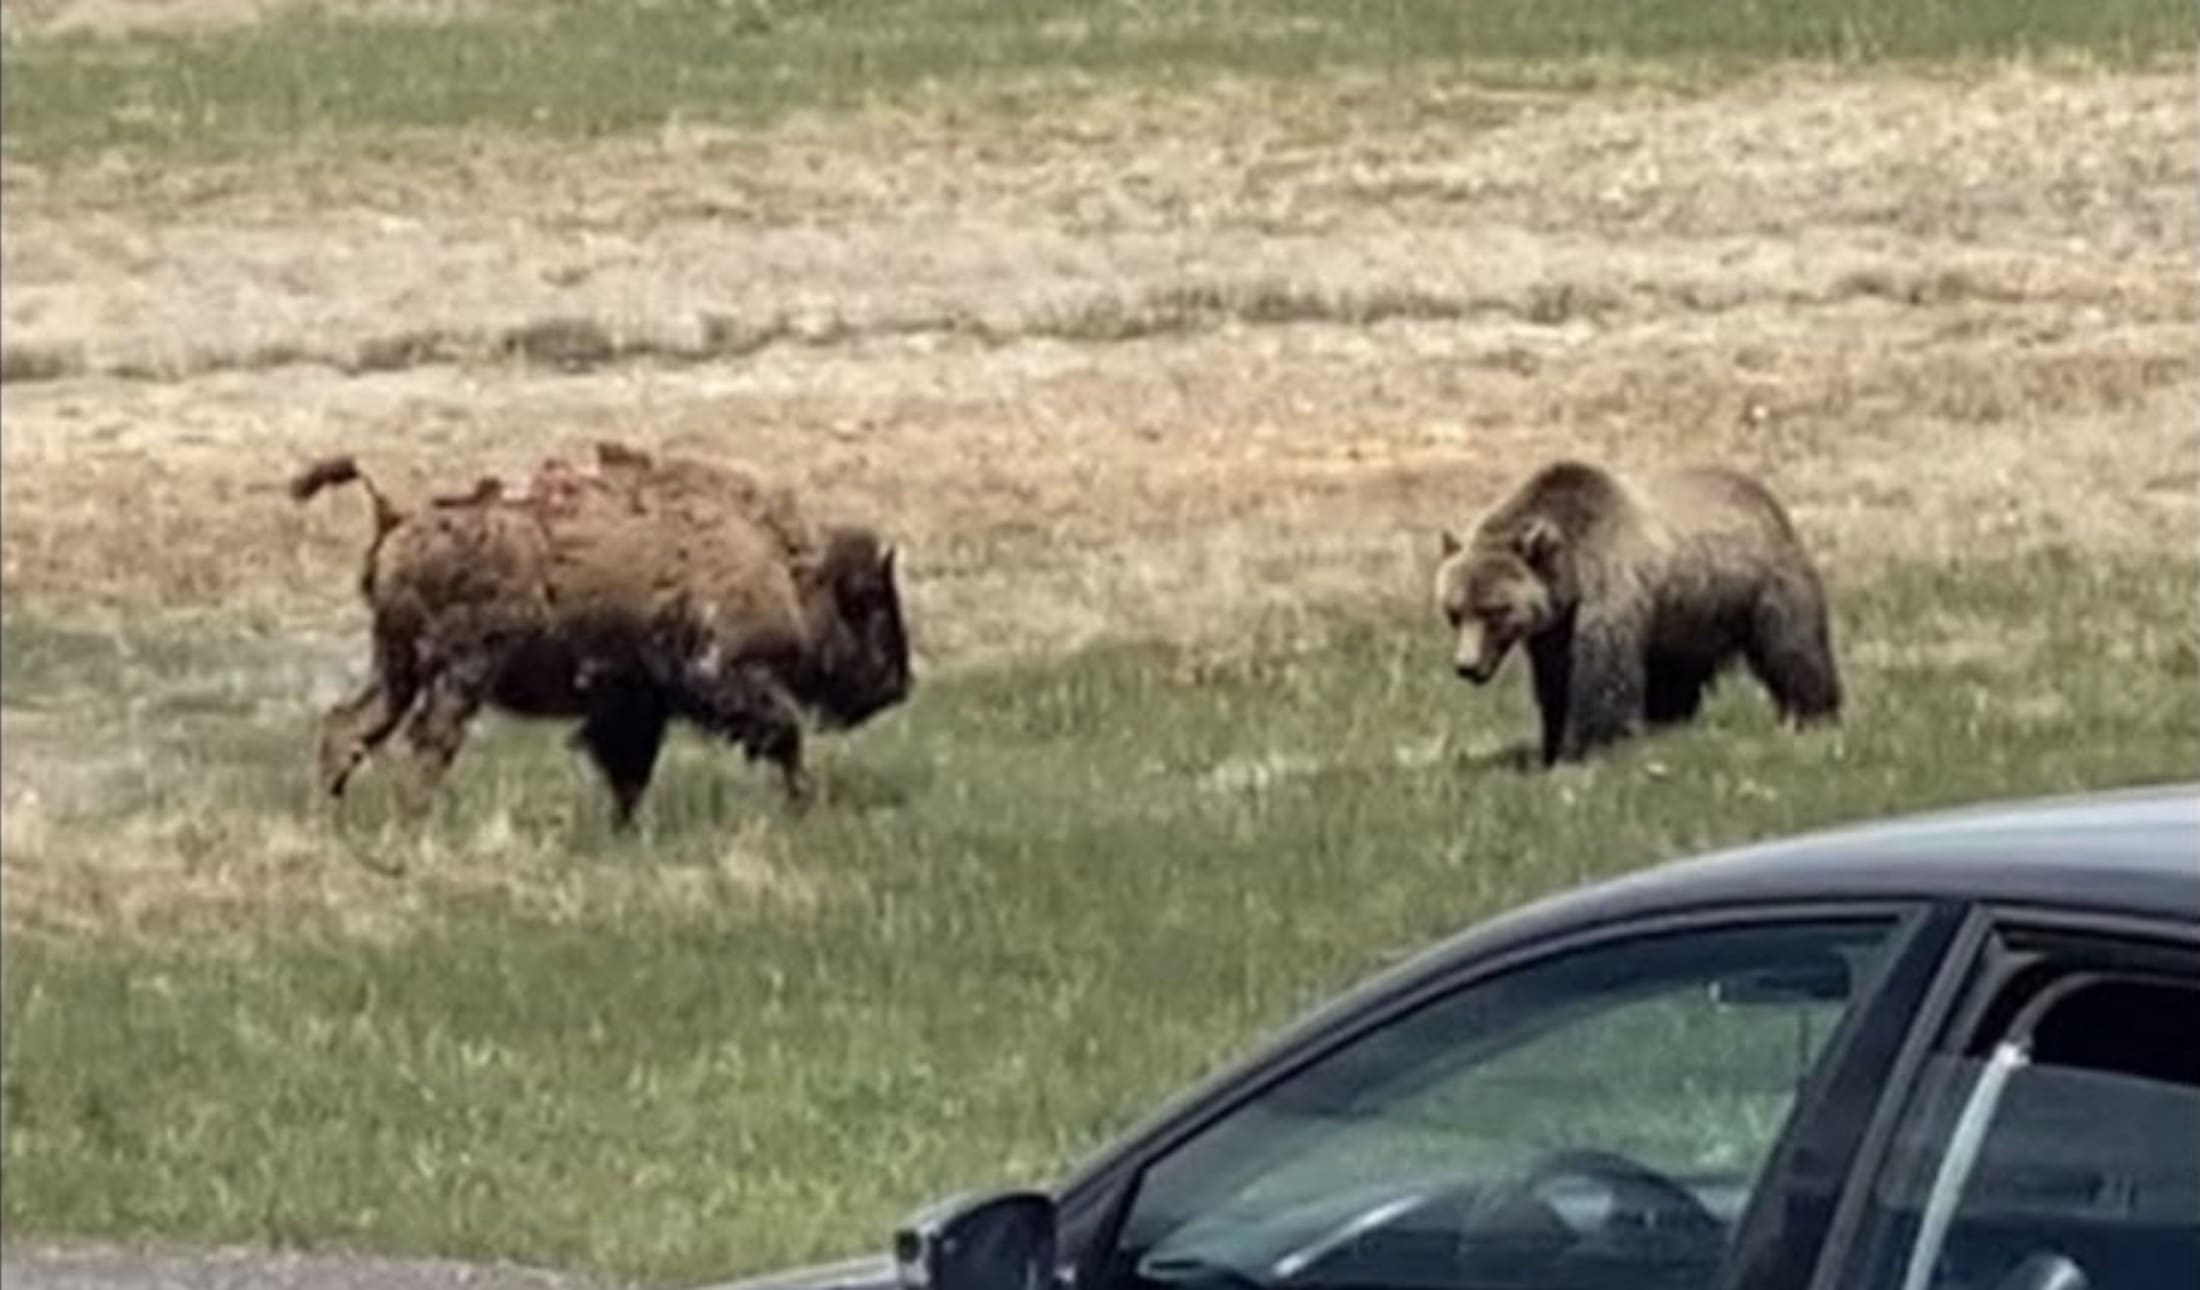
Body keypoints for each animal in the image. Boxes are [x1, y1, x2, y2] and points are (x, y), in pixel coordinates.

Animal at [292, 442, 910, 823]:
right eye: (873, 608)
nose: (899, 685)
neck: (784, 565)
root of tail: (396, 516)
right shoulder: (721, 677)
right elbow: (783, 735)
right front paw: (802, 803)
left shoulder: (635, 703)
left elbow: (630, 770)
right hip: (457, 674)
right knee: (427, 742)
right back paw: (416, 819)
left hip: (397, 669)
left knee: (349, 728)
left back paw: (332, 817)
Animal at [1434, 462, 1848, 761]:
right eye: (1454, 612)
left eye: (1494, 610)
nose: (1466, 666)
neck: (1571, 574)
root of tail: (1763, 495)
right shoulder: (1555, 628)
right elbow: (1555, 680)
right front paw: (1551, 746)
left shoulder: (1607, 593)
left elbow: (1603, 677)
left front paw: (1589, 747)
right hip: (1686, 617)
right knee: (1676, 675)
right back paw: (1669, 723)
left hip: (1760, 587)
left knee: (1792, 649)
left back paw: (1813, 714)